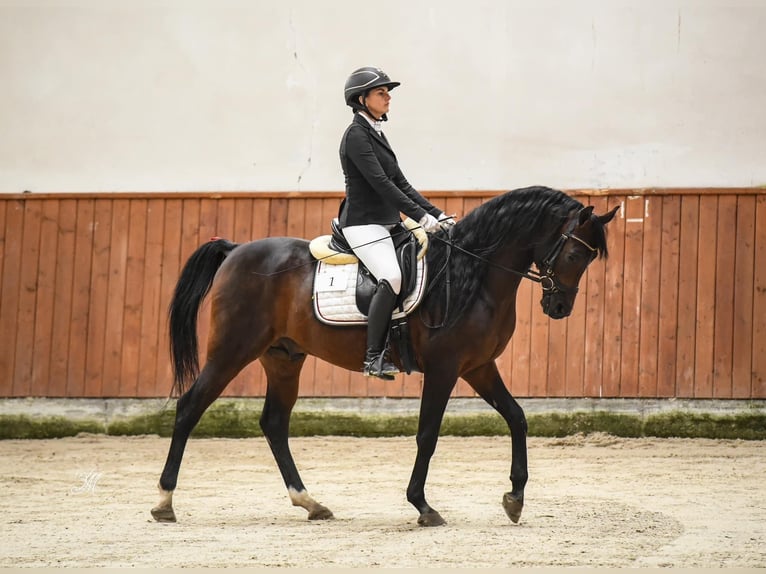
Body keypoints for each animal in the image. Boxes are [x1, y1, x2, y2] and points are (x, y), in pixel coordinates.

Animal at [153, 187, 620, 528]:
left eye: (589, 257)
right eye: (575, 253)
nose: (559, 307)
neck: (471, 274)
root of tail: (234, 250)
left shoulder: (478, 367)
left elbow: (518, 417)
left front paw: (515, 498)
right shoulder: (445, 369)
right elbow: (428, 435)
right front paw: (423, 506)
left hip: (283, 358)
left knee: (273, 423)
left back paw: (311, 503)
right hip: (232, 351)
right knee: (190, 407)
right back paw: (164, 502)